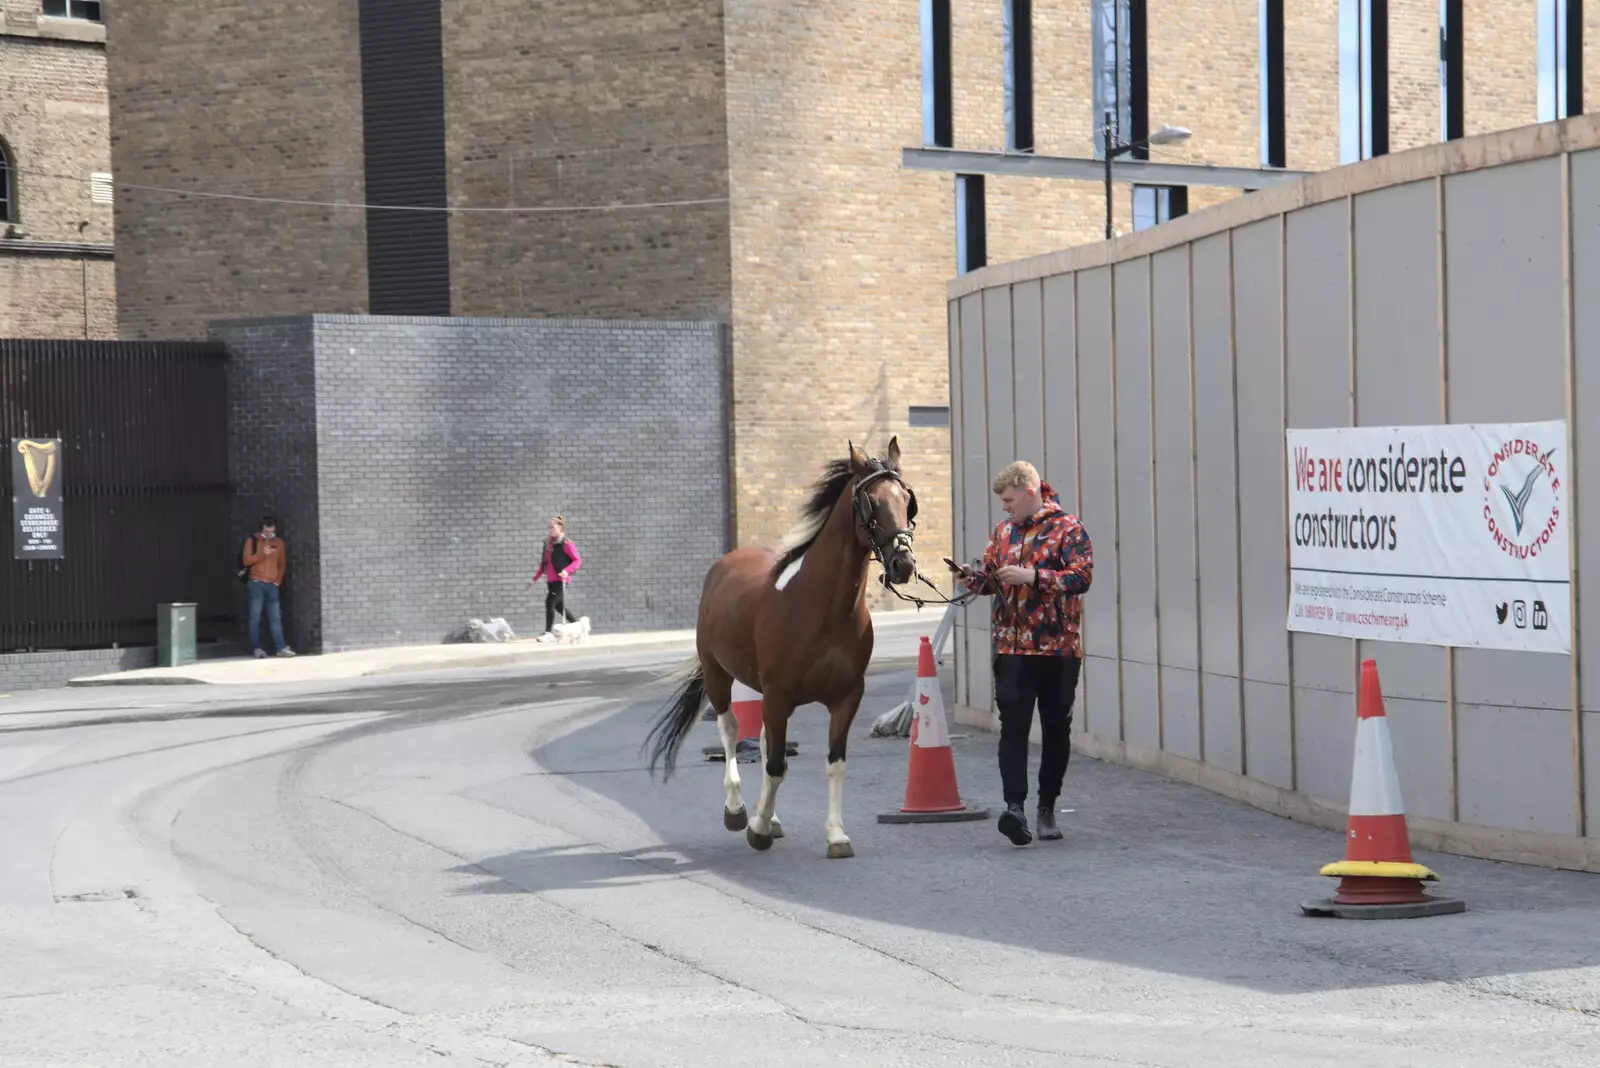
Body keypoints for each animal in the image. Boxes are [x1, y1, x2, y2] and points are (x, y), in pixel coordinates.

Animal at [643, 434, 921, 856]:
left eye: (907, 499)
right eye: (871, 502)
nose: (902, 563)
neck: (824, 609)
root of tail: (724, 565)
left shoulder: (846, 697)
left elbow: (833, 763)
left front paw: (835, 835)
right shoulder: (778, 694)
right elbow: (775, 765)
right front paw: (756, 828)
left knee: (760, 739)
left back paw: (769, 815)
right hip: (719, 676)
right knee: (730, 730)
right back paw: (738, 810)